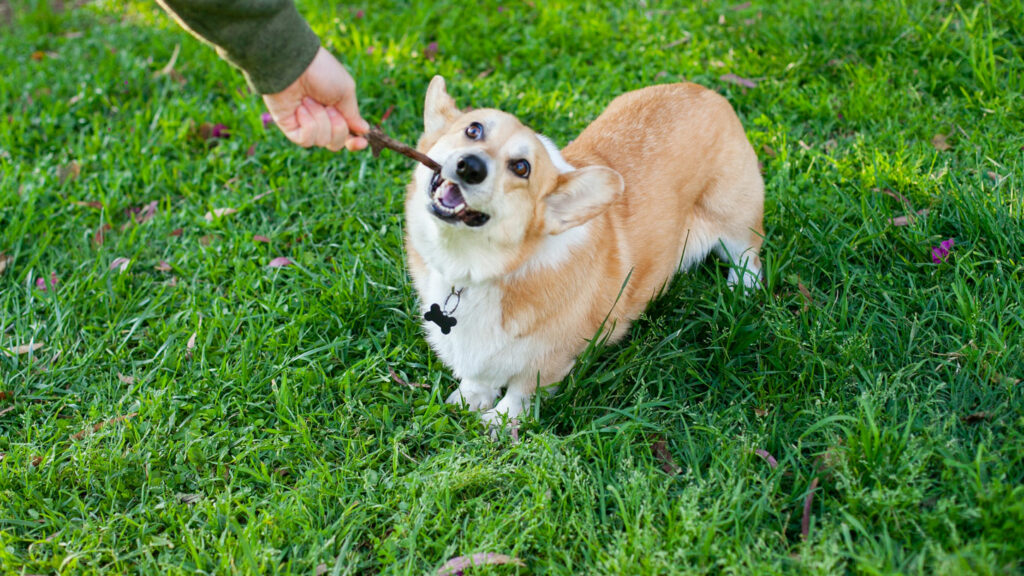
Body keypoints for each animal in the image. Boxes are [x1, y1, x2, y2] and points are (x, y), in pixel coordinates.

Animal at [403, 75, 765, 426]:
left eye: (522, 168)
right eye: (473, 129)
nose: (471, 166)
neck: (474, 268)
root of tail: (705, 92)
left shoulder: (549, 358)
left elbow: (521, 392)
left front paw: (501, 423)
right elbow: (480, 377)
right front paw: (470, 399)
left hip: (734, 218)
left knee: (750, 257)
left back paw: (741, 287)